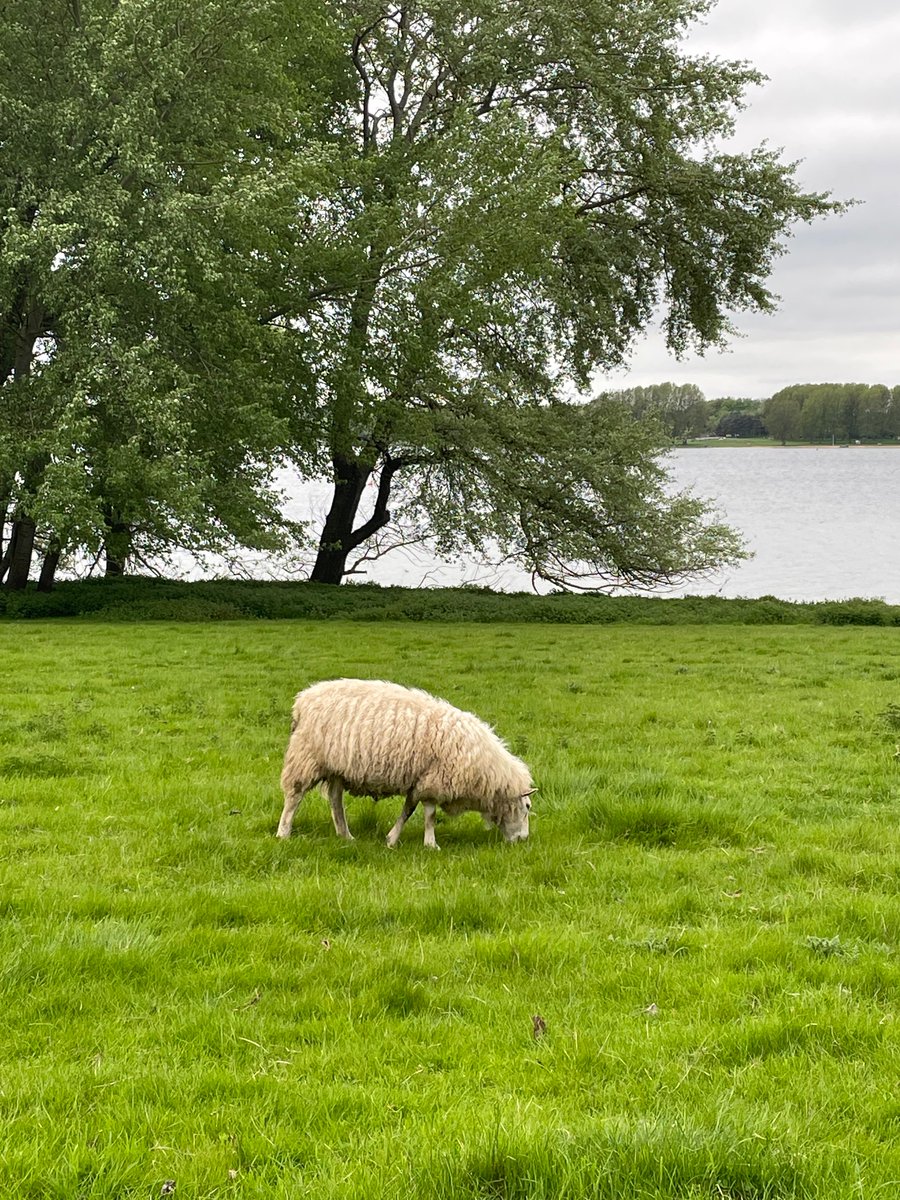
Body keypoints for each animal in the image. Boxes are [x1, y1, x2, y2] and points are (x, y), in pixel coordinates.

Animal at [274, 681, 535, 849]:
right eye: (527, 806)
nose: (524, 840)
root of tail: (302, 700)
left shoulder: (421, 780)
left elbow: (408, 810)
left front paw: (391, 840)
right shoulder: (434, 781)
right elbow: (429, 815)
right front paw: (431, 845)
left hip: (337, 767)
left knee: (335, 800)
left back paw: (345, 836)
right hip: (306, 757)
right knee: (294, 796)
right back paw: (283, 833)